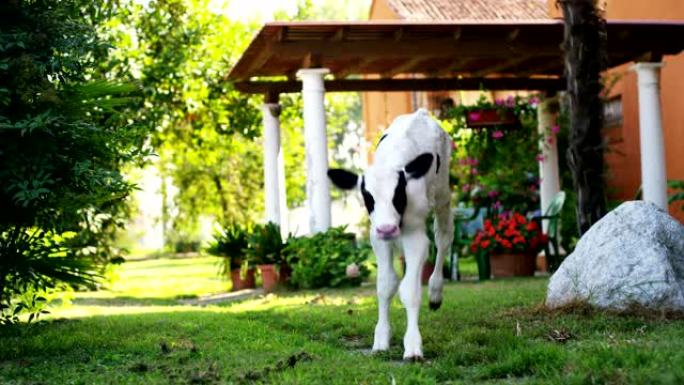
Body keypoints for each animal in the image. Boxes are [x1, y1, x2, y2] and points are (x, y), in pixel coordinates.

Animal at [328, 109, 452, 360]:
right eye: (368, 197)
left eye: (398, 194)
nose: (387, 228)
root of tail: (421, 113)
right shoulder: (377, 238)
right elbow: (386, 285)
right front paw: (381, 339)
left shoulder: (415, 235)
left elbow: (409, 290)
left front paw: (413, 346)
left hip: (443, 194)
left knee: (443, 238)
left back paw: (436, 293)